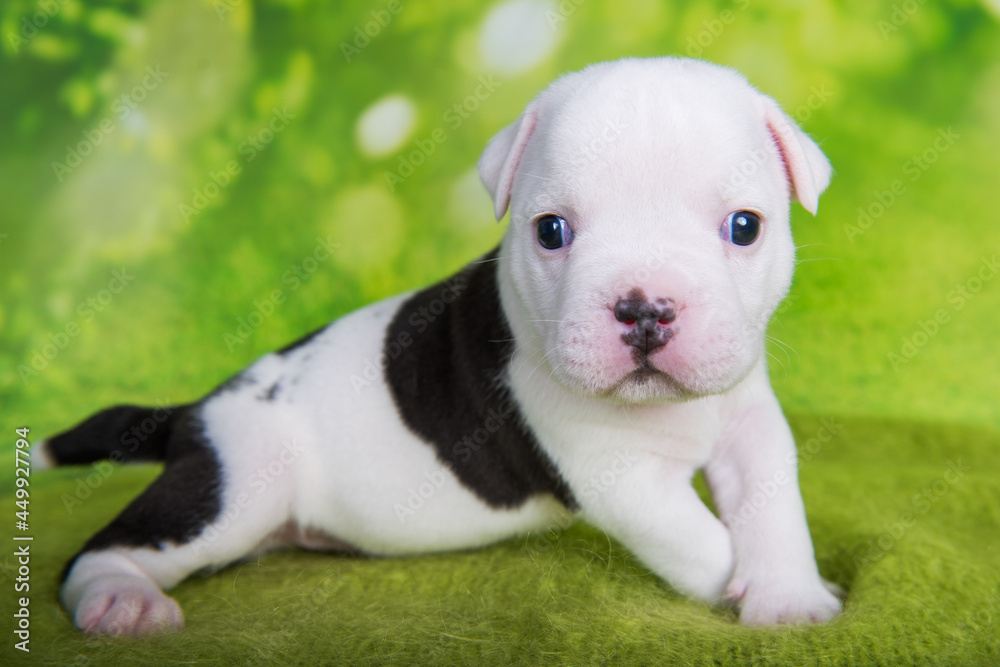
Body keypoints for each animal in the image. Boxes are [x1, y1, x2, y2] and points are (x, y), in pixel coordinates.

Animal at [33, 58, 844, 636]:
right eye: (551, 231)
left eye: (745, 227)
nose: (644, 307)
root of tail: (196, 411)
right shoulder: (622, 477)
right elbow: (701, 540)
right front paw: (739, 587)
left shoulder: (750, 424)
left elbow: (774, 504)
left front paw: (789, 595)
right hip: (232, 490)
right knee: (103, 550)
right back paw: (121, 600)